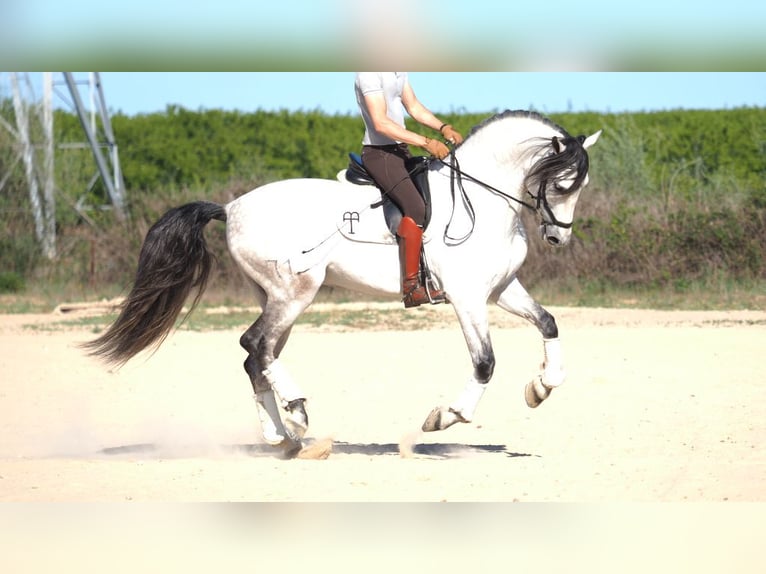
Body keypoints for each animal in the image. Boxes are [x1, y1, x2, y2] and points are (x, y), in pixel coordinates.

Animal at [82, 109, 600, 460]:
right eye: (562, 184)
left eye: (578, 186)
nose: (558, 236)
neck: (482, 200)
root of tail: (230, 207)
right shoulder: (468, 297)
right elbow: (485, 363)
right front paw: (445, 417)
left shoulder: (500, 288)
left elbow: (549, 323)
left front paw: (542, 386)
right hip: (294, 292)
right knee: (256, 345)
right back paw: (295, 413)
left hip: (277, 298)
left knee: (257, 357)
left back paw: (283, 435)